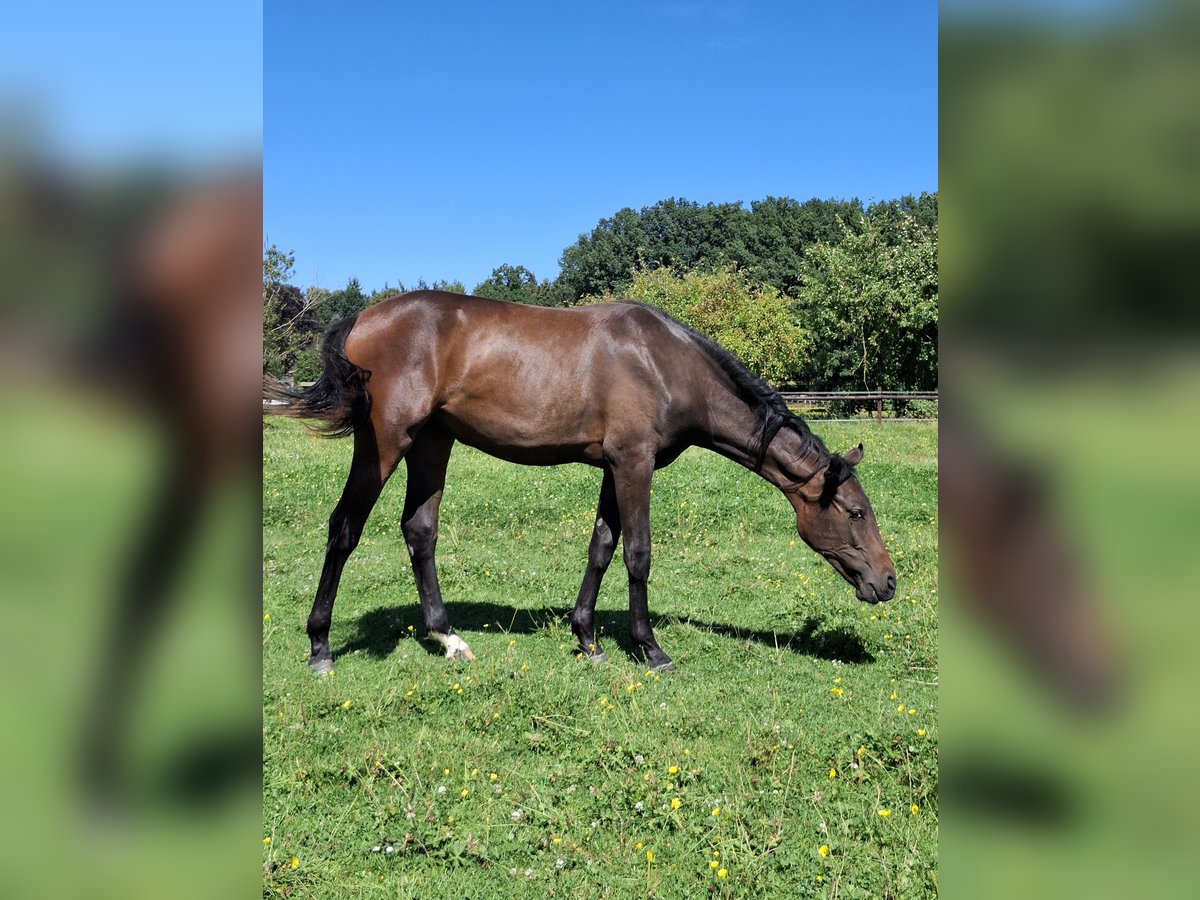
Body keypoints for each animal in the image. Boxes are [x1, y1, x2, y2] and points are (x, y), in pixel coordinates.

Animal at [267, 292, 897, 672]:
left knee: (419, 531)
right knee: (344, 528)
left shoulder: (614, 467)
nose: (887, 584)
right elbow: (638, 553)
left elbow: (601, 546)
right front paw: (650, 648)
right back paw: (321, 646)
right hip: (384, 443)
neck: (666, 363)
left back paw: (448, 639)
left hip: (431, 444)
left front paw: (588, 638)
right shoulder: (633, 463)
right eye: (857, 512)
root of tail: (361, 319)